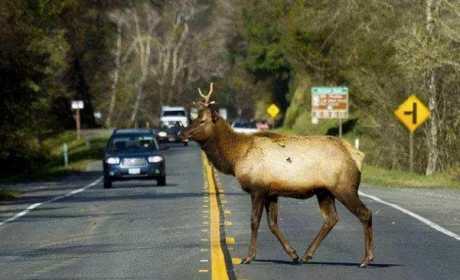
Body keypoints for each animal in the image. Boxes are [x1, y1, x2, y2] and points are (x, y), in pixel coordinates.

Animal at [180, 82, 374, 266]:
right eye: (194, 117)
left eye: (202, 120)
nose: (182, 133)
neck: (235, 157)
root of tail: (357, 156)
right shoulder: (271, 193)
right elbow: (273, 224)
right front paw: (293, 254)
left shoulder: (257, 189)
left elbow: (254, 221)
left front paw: (248, 257)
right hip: (324, 192)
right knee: (331, 219)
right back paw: (307, 254)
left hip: (343, 187)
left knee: (365, 213)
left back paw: (367, 259)